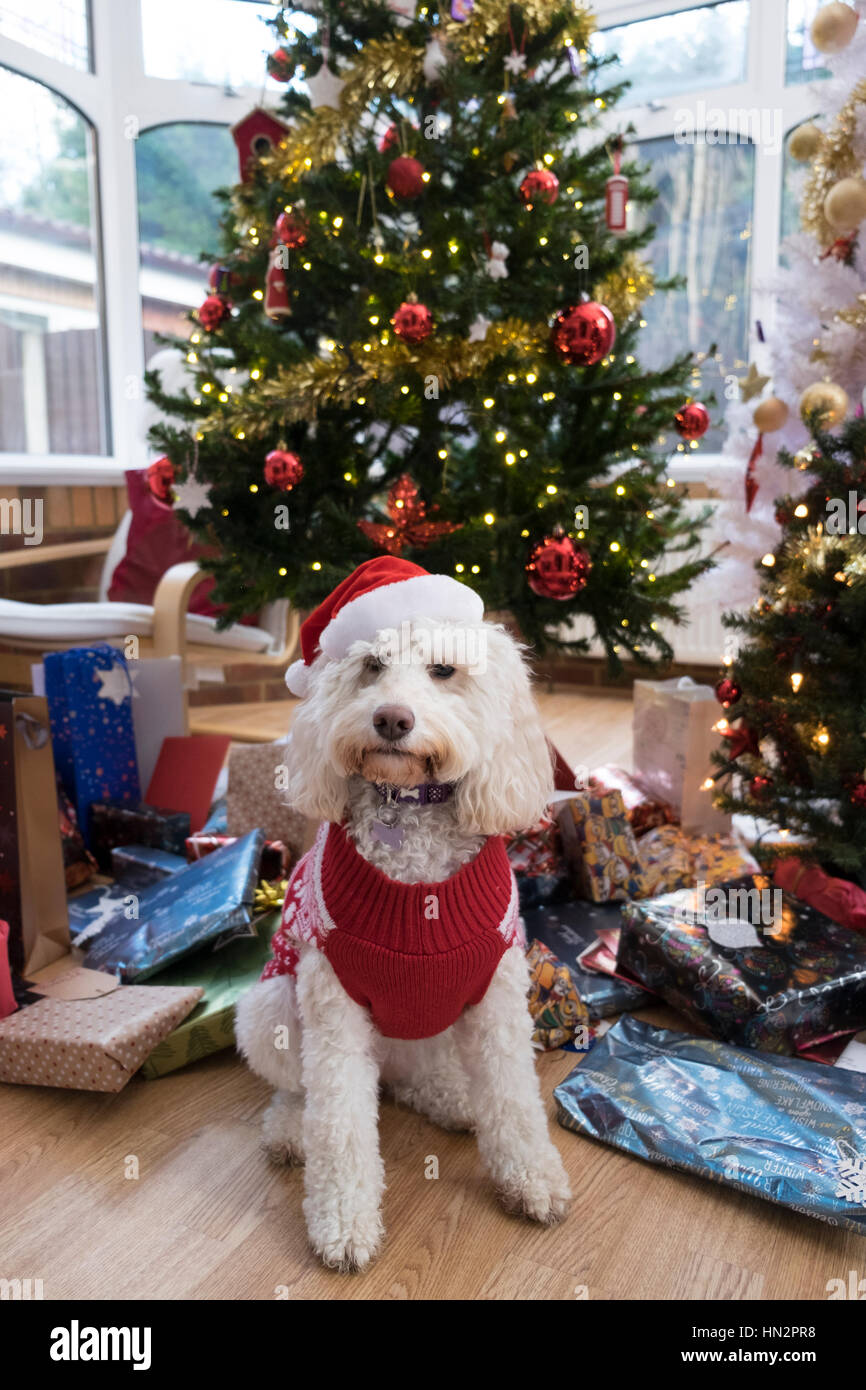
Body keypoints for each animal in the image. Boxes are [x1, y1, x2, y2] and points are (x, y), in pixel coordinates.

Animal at [237, 556, 572, 1273]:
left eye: (444, 669)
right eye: (371, 665)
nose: (392, 719)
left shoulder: (497, 998)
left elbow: (514, 1100)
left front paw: (532, 1178)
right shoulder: (333, 1006)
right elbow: (338, 1124)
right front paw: (343, 1224)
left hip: (436, 1022)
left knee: (417, 1077)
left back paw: (452, 1099)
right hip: (273, 1007)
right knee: (302, 1093)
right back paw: (289, 1131)